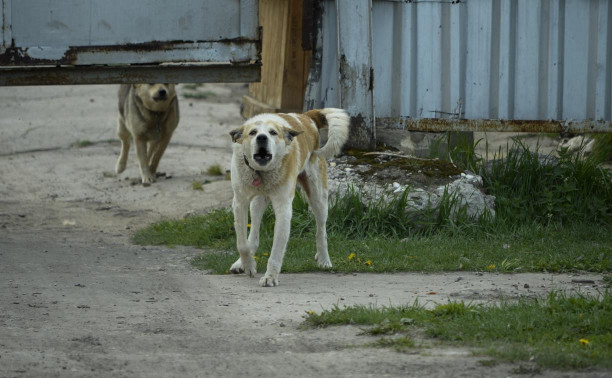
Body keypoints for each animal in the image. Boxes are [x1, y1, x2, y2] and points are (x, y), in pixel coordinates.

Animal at [228, 109, 350, 286]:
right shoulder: (240, 203)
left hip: (318, 197)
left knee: (321, 231)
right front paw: (249, 265)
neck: (261, 172)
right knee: (254, 234)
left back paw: (324, 260)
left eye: (273, 132)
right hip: (258, 202)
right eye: (252, 132)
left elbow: (277, 250)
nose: (262, 138)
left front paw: (270, 277)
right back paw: (240, 263)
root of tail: (306, 116)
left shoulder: (284, 208)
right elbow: (242, 244)